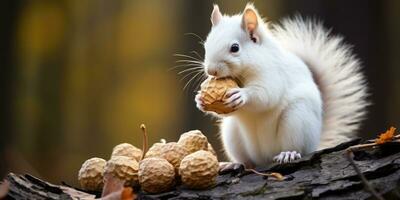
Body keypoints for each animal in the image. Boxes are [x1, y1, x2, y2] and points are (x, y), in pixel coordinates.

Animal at [194, 3, 368, 167]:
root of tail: (264, 156)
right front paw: (200, 100)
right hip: (232, 133)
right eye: (206, 45)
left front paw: (242, 95)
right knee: (247, 160)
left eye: (235, 48)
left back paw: (288, 154)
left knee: (296, 147)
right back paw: (234, 164)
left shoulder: (273, 73)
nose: (211, 70)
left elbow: (266, 95)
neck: (241, 76)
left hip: (297, 120)